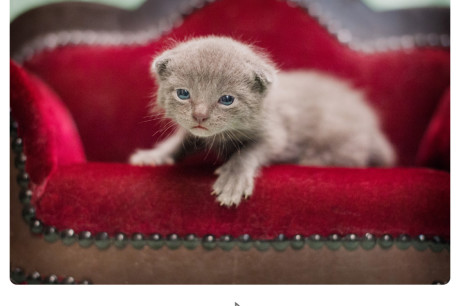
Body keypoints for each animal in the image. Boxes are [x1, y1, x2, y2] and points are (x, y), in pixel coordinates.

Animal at [129, 37, 396, 207]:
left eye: (227, 99)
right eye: (183, 94)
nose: (200, 116)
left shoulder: (276, 135)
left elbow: (248, 152)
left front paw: (233, 179)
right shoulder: (195, 132)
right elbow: (179, 141)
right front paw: (154, 155)